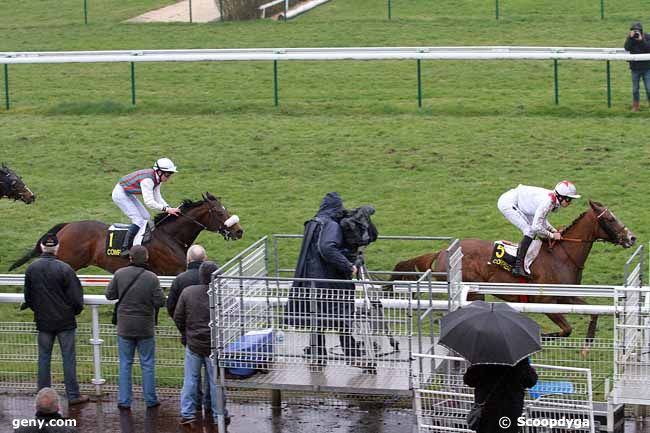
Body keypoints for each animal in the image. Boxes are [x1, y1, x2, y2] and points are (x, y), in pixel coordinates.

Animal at [9, 192, 243, 274]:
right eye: (219, 212)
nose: (239, 231)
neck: (170, 238)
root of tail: (68, 225)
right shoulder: (172, 272)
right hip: (69, 260)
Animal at [392, 201, 636, 346]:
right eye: (610, 219)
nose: (631, 237)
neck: (562, 256)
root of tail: (442, 251)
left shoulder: (565, 297)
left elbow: (593, 313)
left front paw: (589, 340)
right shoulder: (546, 302)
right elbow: (566, 329)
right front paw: (544, 337)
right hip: (474, 292)